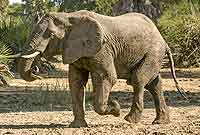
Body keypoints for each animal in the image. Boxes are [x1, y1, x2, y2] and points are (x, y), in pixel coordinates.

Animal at [18, 10, 187, 127]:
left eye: (51, 35)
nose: (36, 70)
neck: (69, 16)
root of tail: (163, 40)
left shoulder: (102, 49)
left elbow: (107, 77)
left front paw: (116, 108)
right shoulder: (75, 50)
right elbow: (75, 82)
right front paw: (77, 126)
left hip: (154, 52)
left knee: (138, 80)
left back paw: (130, 120)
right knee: (154, 84)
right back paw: (160, 122)